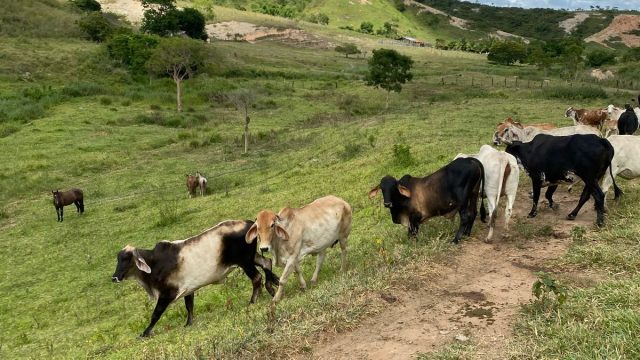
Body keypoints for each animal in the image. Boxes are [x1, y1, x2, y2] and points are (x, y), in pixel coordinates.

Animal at [110, 219, 280, 338]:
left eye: (126, 259)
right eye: (118, 259)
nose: (114, 277)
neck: (154, 264)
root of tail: (251, 223)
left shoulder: (166, 295)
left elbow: (155, 314)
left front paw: (145, 333)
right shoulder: (188, 289)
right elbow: (189, 307)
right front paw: (188, 324)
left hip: (244, 261)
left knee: (257, 277)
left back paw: (252, 301)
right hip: (251, 257)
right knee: (267, 263)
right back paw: (272, 288)